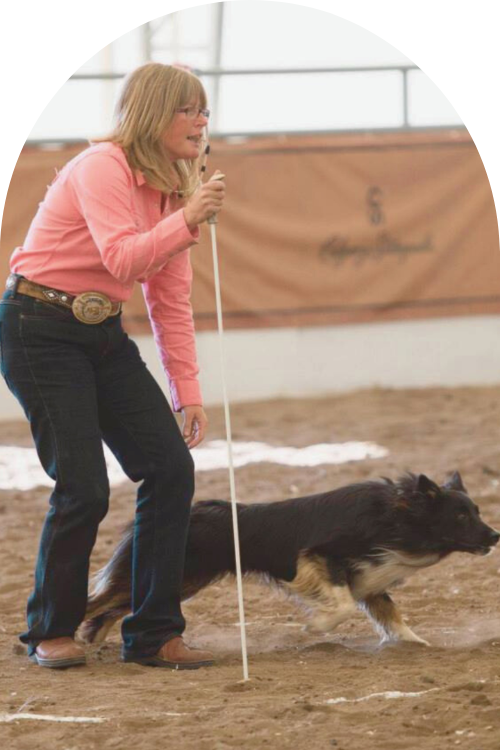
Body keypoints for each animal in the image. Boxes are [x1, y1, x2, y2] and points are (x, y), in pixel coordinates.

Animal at [79, 472, 499, 646]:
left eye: (477, 510)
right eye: (461, 516)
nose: (495, 535)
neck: (394, 516)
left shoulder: (370, 581)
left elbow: (392, 617)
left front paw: (417, 644)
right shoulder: (317, 557)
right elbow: (342, 606)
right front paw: (317, 626)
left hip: (179, 582)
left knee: (110, 610)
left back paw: (94, 642)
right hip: (176, 578)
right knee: (95, 603)